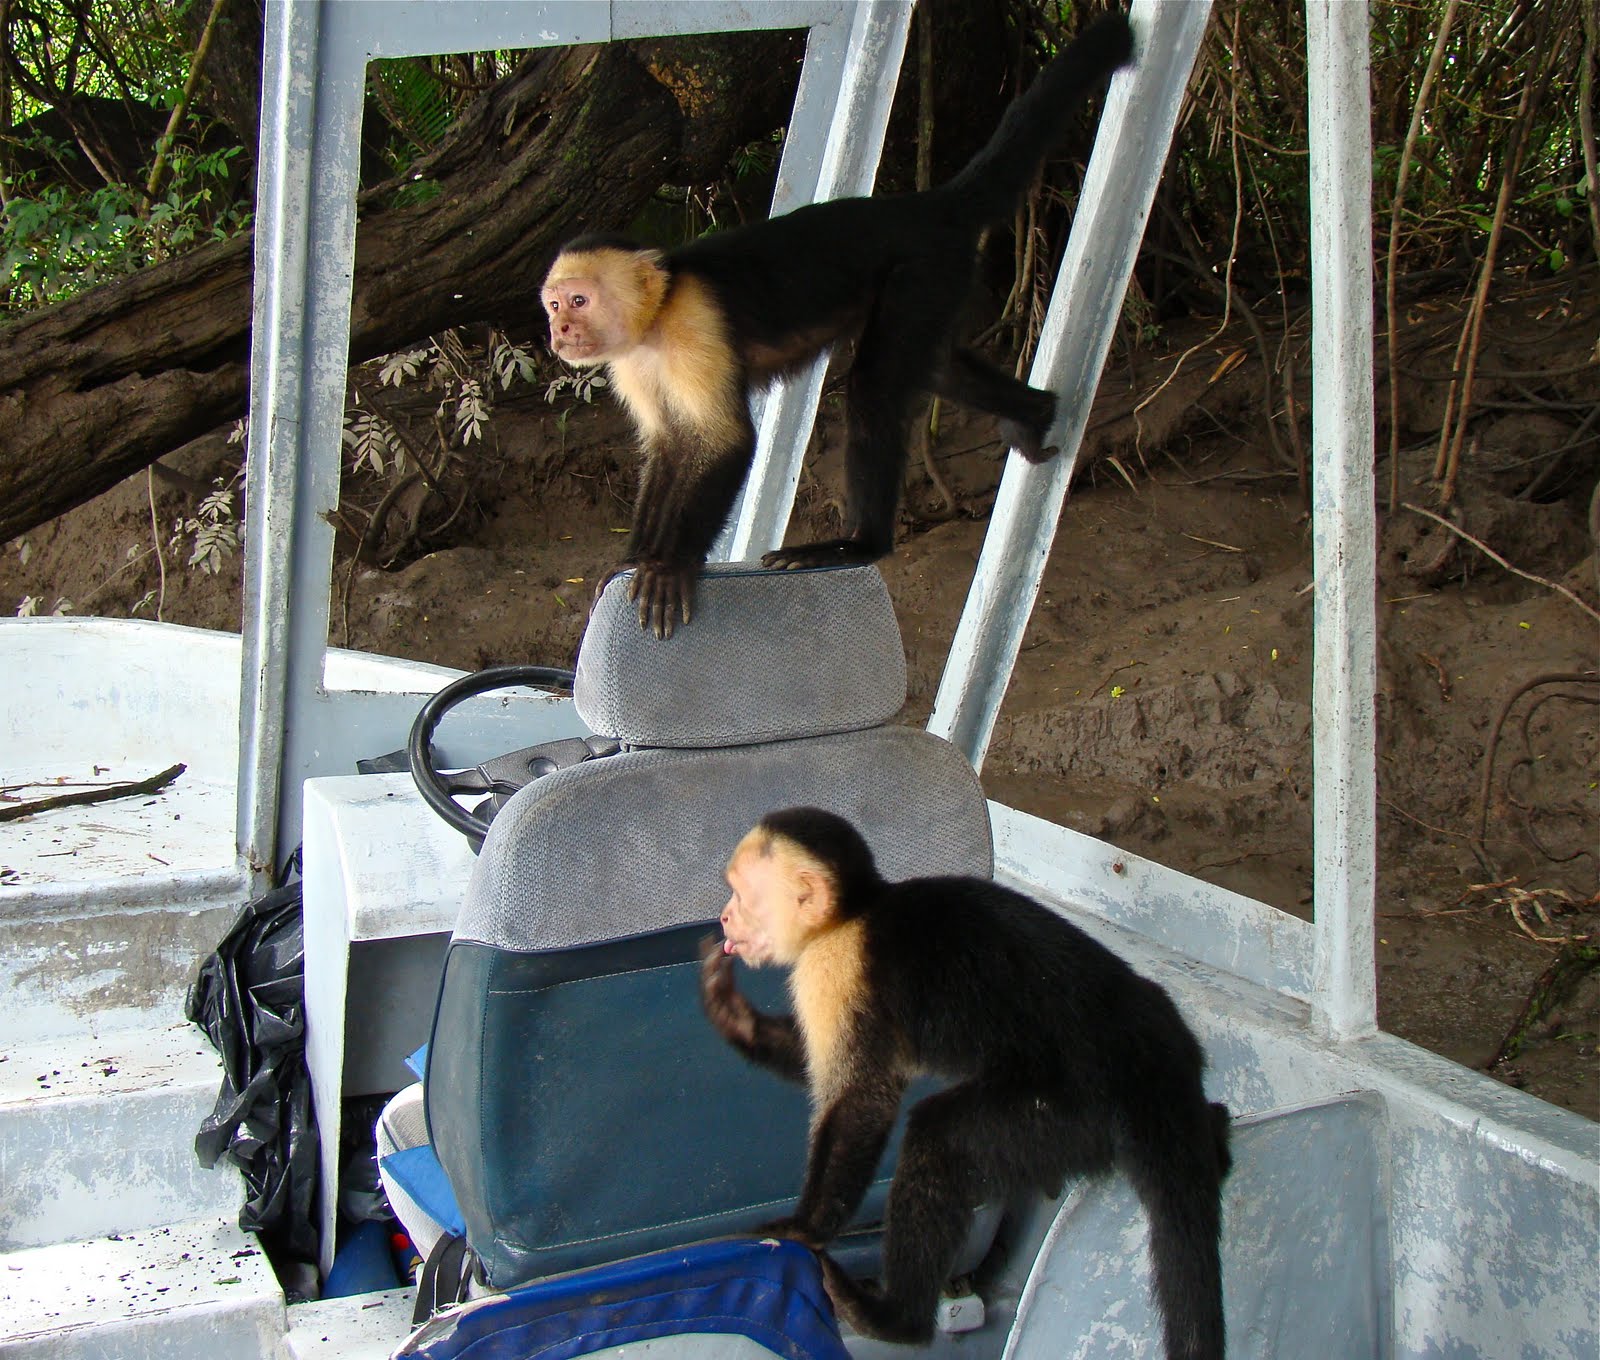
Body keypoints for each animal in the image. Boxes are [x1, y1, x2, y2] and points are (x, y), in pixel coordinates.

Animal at [542, 13, 1135, 637]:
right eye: (554, 306)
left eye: (579, 300)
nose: (560, 334)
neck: (655, 320)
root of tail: (927, 205)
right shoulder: (630, 361)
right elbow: (668, 445)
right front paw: (635, 558)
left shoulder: (693, 323)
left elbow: (724, 441)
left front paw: (671, 565)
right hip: (933, 283)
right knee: (937, 368)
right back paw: (1035, 411)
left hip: (921, 270)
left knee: (876, 385)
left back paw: (859, 544)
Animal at [698, 806, 1231, 1359]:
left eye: (740, 894)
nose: (725, 918)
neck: (851, 914)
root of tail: (1152, 1053)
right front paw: (735, 1016)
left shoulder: (836, 970)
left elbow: (861, 1103)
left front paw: (806, 1228)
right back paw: (1217, 1134)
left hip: (1075, 1109)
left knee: (942, 1137)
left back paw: (897, 1318)